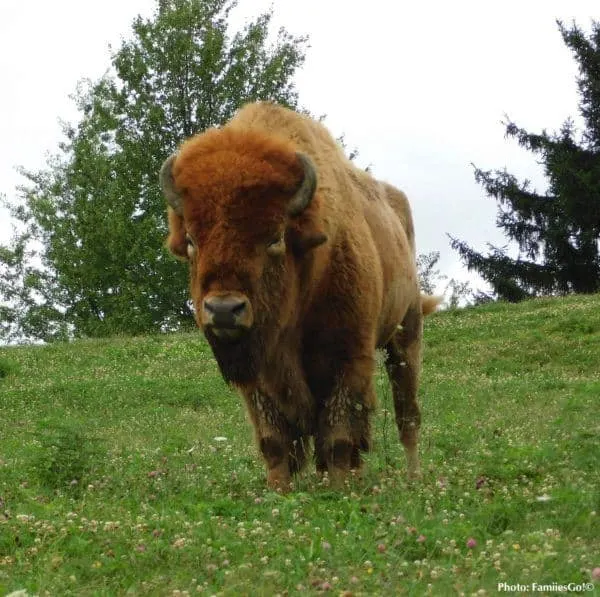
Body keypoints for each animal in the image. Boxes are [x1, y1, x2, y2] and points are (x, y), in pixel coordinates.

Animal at [162, 102, 438, 488]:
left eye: (275, 237)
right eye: (190, 240)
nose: (224, 310)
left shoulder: (346, 358)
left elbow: (338, 436)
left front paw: (339, 488)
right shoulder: (259, 376)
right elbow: (275, 441)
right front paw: (280, 489)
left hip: (406, 334)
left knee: (407, 415)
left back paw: (413, 477)